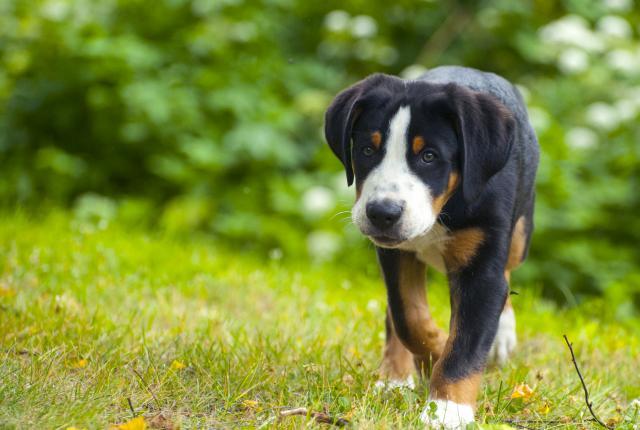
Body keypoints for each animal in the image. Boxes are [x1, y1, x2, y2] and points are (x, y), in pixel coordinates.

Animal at [324, 65, 540, 428]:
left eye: (429, 156)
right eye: (367, 150)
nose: (382, 212)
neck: (445, 208)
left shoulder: (482, 271)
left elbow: (466, 342)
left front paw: (447, 409)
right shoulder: (396, 257)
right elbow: (409, 318)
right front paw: (435, 350)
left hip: (520, 232)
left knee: (509, 273)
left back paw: (503, 335)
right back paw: (394, 377)